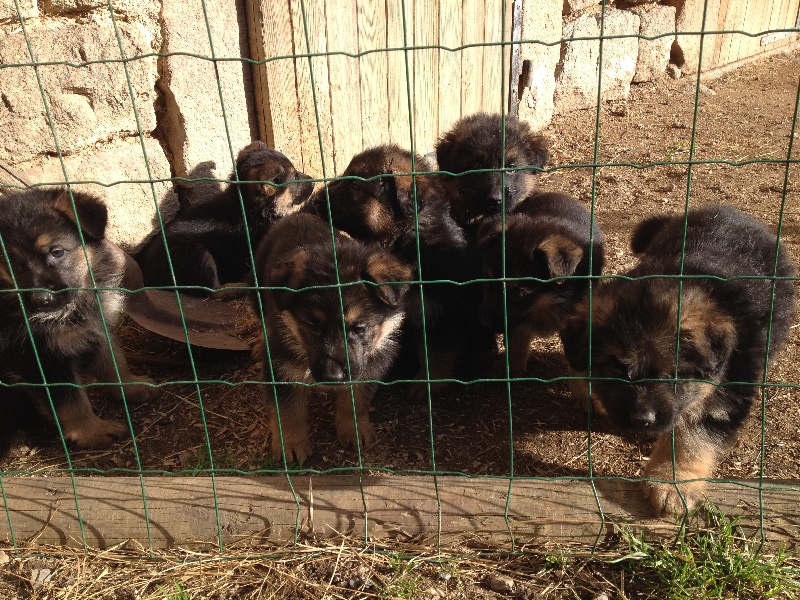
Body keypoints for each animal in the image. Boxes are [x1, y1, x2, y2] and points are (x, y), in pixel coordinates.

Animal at [0, 189, 161, 460]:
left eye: (57, 252)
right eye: (12, 263)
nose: (41, 300)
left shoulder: (96, 328)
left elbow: (113, 361)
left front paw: (129, 386)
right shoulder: (39, 357)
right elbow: (71, 400)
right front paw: (92, 432)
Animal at [138, 139, 312, 292]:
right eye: (295, 178)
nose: (312, 180)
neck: (248, 208)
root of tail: (149, 279)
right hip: (193, 253)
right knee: (212, 290)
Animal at [250, 211, 412, 460]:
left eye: (359, 328)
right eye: (313, 326)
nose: (331, 377)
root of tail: (298, 215)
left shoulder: (368, 367)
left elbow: (356, 401)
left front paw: (354, 429)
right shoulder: (282, 367)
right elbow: (288, 411)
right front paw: (291, 444)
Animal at [476, 192, 608, 376]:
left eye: (519, 294)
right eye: (488, 283)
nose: (483, 323)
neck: (548, 302)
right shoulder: (518, 323)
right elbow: (516, 347)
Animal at [560, 206, 796, 516]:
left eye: (673, 374)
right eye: (616, 368)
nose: (641, 420)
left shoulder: (727, 387)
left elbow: (692, 437)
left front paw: (673, 483)